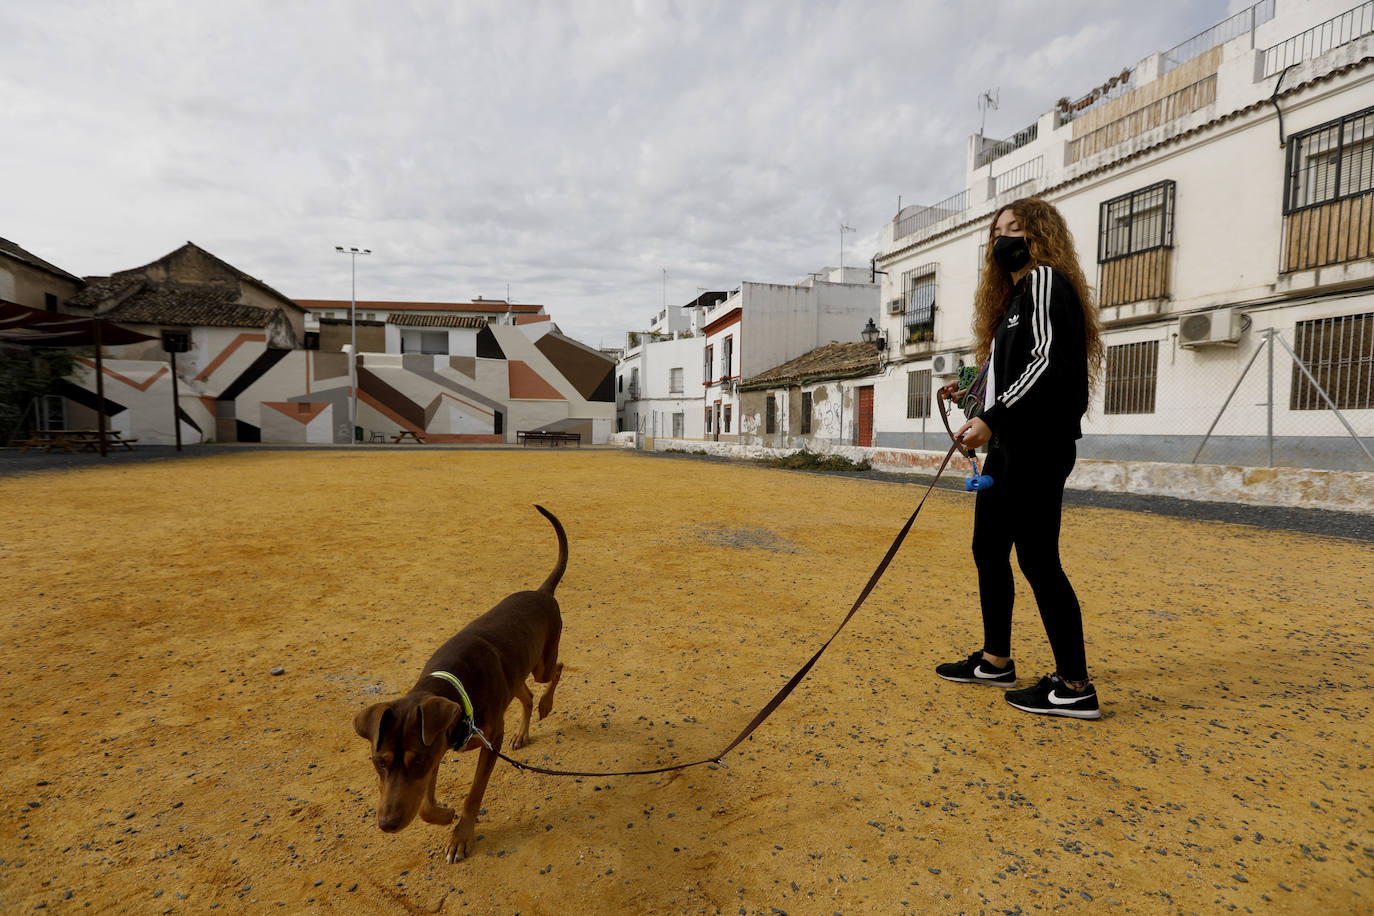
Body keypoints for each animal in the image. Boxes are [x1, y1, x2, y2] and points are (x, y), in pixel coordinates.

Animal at [359, 505, 568, 862]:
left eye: (417, 761)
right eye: (379, 762)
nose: (387, 824)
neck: (457, 689)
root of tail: (542, 592)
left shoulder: (489, 740)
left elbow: (474, 794)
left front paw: (461, 837)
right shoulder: (440, 742)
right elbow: (425, 803)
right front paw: (444, 815)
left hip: (541, 661)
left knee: (555, 670)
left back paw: (546, 704)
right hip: (517, 674)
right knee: (526, 695)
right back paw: (523, 731)